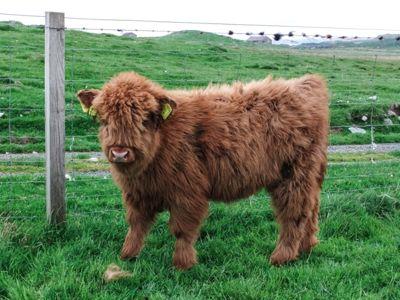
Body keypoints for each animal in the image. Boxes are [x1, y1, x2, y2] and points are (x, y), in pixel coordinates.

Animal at [77, 72, 328, 270]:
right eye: (103, 119)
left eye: (146, 119)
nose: (120, 152)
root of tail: (305, 83)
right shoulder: (138, 193)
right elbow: (136, 224)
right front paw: (127, 255)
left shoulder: (188, 191)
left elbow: (182, 229)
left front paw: (182, 264)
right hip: (310, 175)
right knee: (311, 208)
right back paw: (307, 247)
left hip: (294, 174)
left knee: (294, 213)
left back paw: (282, 256)